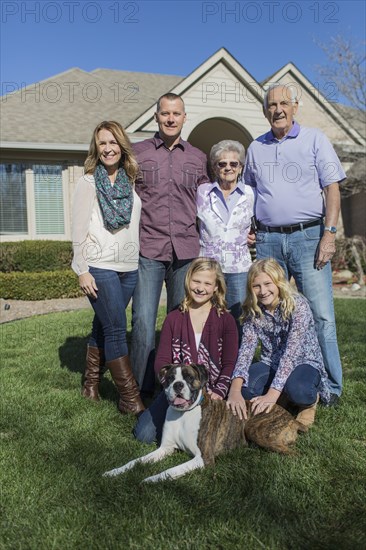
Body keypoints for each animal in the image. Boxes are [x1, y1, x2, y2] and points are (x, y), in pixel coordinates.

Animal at [103, 364, 306, 486]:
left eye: (189, 377)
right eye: (170, 378)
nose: (178, 385)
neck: (183, 415)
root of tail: (291, 418)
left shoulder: (203, 458)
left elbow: (170, 470)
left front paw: (149, 479)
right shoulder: (165, 448)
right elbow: (135, 461)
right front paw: (114, 472)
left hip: (254, 429)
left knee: (295, 454)